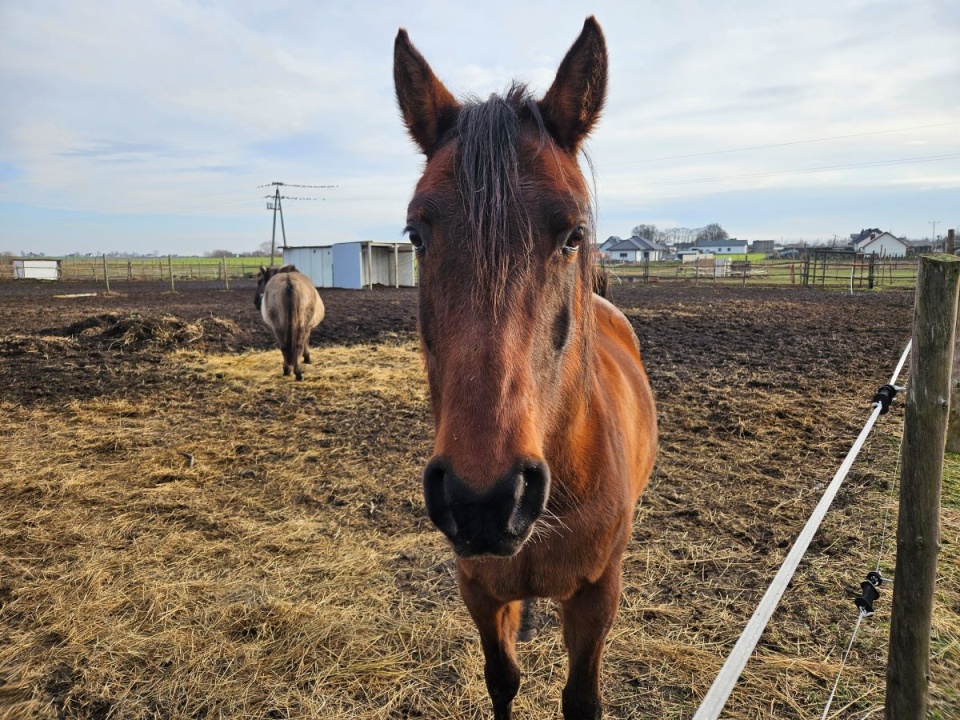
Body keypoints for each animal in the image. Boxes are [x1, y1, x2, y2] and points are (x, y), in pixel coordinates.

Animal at [394, 16, 656, 720]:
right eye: (415, 235)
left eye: (572, 233)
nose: (484, 499)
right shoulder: (479, 590)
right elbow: (502, 680)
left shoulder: (596, 597)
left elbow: (581, 699)